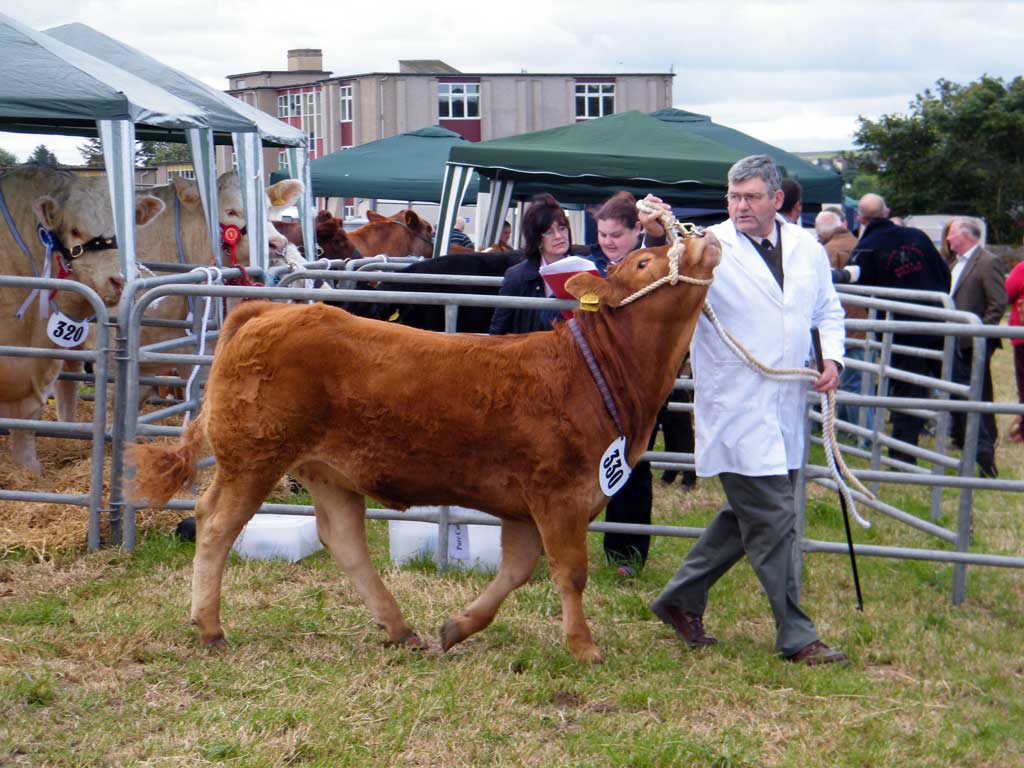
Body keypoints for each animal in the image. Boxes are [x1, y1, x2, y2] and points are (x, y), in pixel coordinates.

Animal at [128, 233, 720, 663]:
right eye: (642, 262)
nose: (703, 236)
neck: (592, 373)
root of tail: (272, 311)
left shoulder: (527, 506)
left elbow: (516, 570)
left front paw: (458, 626)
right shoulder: (559, 495)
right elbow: (570, 572)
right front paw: (584, 648)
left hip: (326, 471)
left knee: (342, 539)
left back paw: (399, 627)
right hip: (253, 458)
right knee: (215, 523)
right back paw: (209, 627)